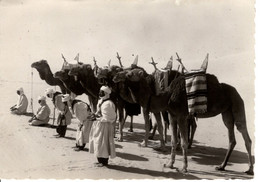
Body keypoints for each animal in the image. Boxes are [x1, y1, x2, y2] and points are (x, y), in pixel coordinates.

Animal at [112, 67, 253, 175]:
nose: (115, 77)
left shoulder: (181, 116)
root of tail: (237, 92)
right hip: (226, 113)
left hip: (237, 104)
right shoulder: (172, 116)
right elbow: (174, 140)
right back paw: (221, 166)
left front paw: (184, 168)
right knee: (231, 137)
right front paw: (170, 164)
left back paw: (249, 170)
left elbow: (184, 142)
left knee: (245, 135)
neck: (167, 96)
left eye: (129, 74)